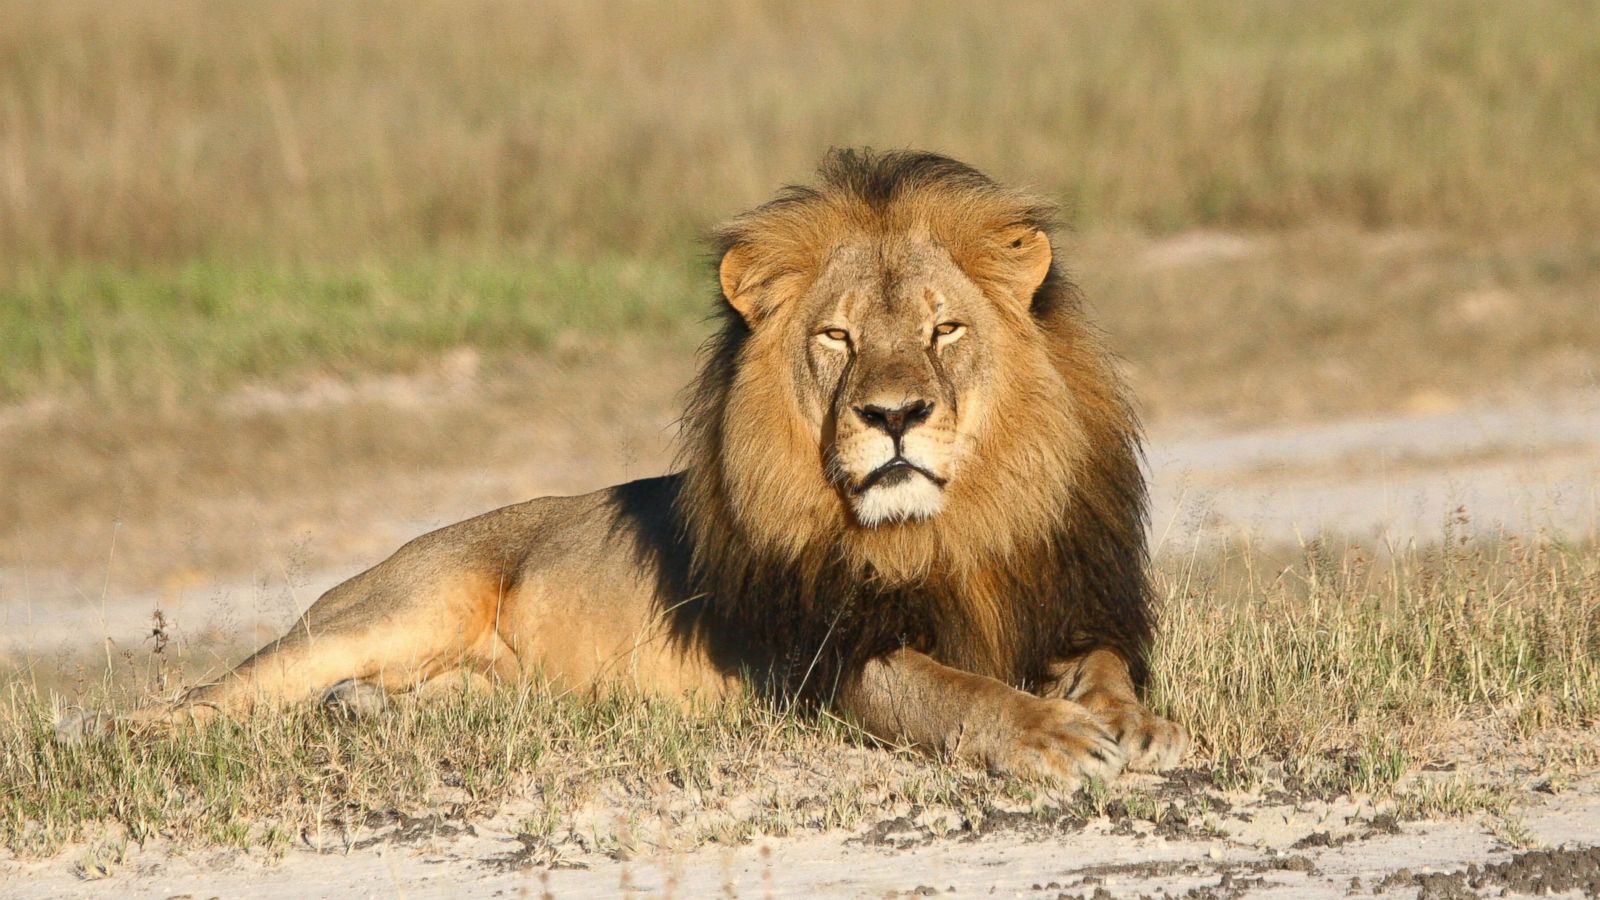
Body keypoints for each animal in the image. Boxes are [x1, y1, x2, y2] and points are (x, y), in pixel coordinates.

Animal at [60, 149, 1187, 784]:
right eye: (836, 338)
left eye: (945, 329)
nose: (895, 415)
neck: (949, 530)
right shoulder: (825, 660)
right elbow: (950, 693)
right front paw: (1052, 737)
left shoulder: (1069, 603)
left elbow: (1108, 669)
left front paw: (1133, 725)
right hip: (391, 608)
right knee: (217, 694)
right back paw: (101, 733)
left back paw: (363, 711)